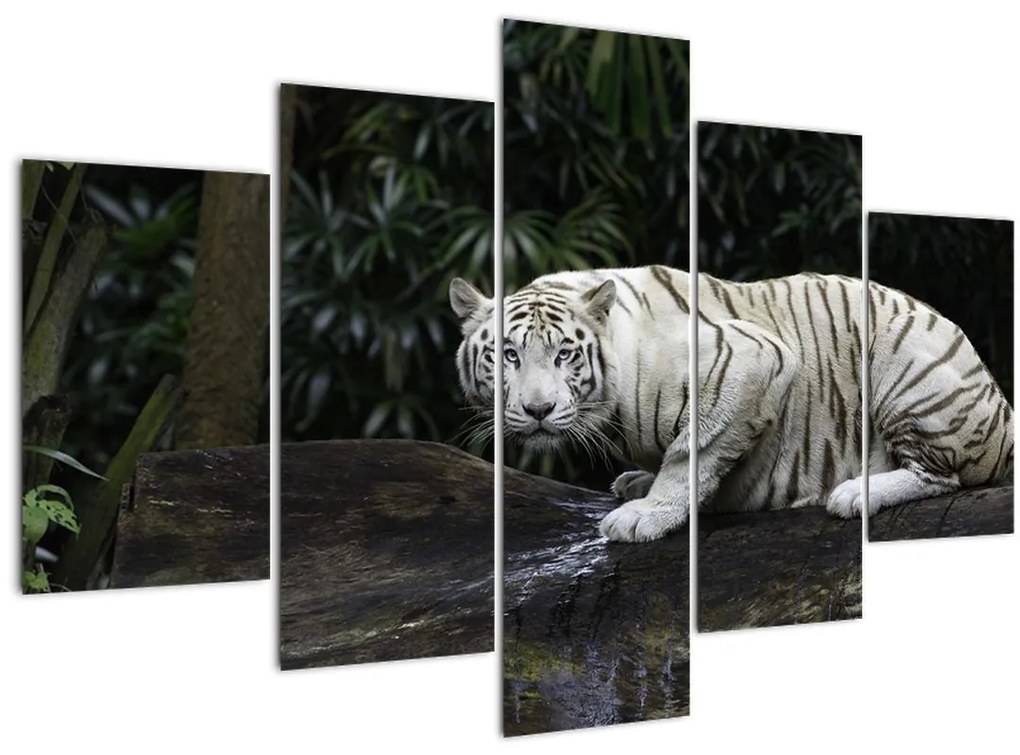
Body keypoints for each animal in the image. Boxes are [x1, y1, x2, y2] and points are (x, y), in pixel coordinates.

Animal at [449, 265, 1013, 542]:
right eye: (506, 354)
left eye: (564, 354)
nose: (538, 410)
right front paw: (639, 486)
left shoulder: (755, 359)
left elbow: (690, 453)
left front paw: (644, 517)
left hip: (900, 351)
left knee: (944, 476)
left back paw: (854, 493)